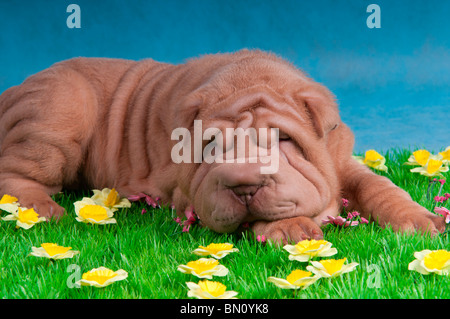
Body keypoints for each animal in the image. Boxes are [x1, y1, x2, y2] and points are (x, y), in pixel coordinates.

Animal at [0, 50, 442, 244]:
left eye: (283, 139)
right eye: (210, 144)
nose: (244, 185)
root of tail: (14, 89)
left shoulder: (339, 156)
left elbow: (376, 185)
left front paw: (420, 220)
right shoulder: (186, 193)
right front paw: (291, 227)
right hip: (60, 109)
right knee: (14, 172)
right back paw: (40, 209)